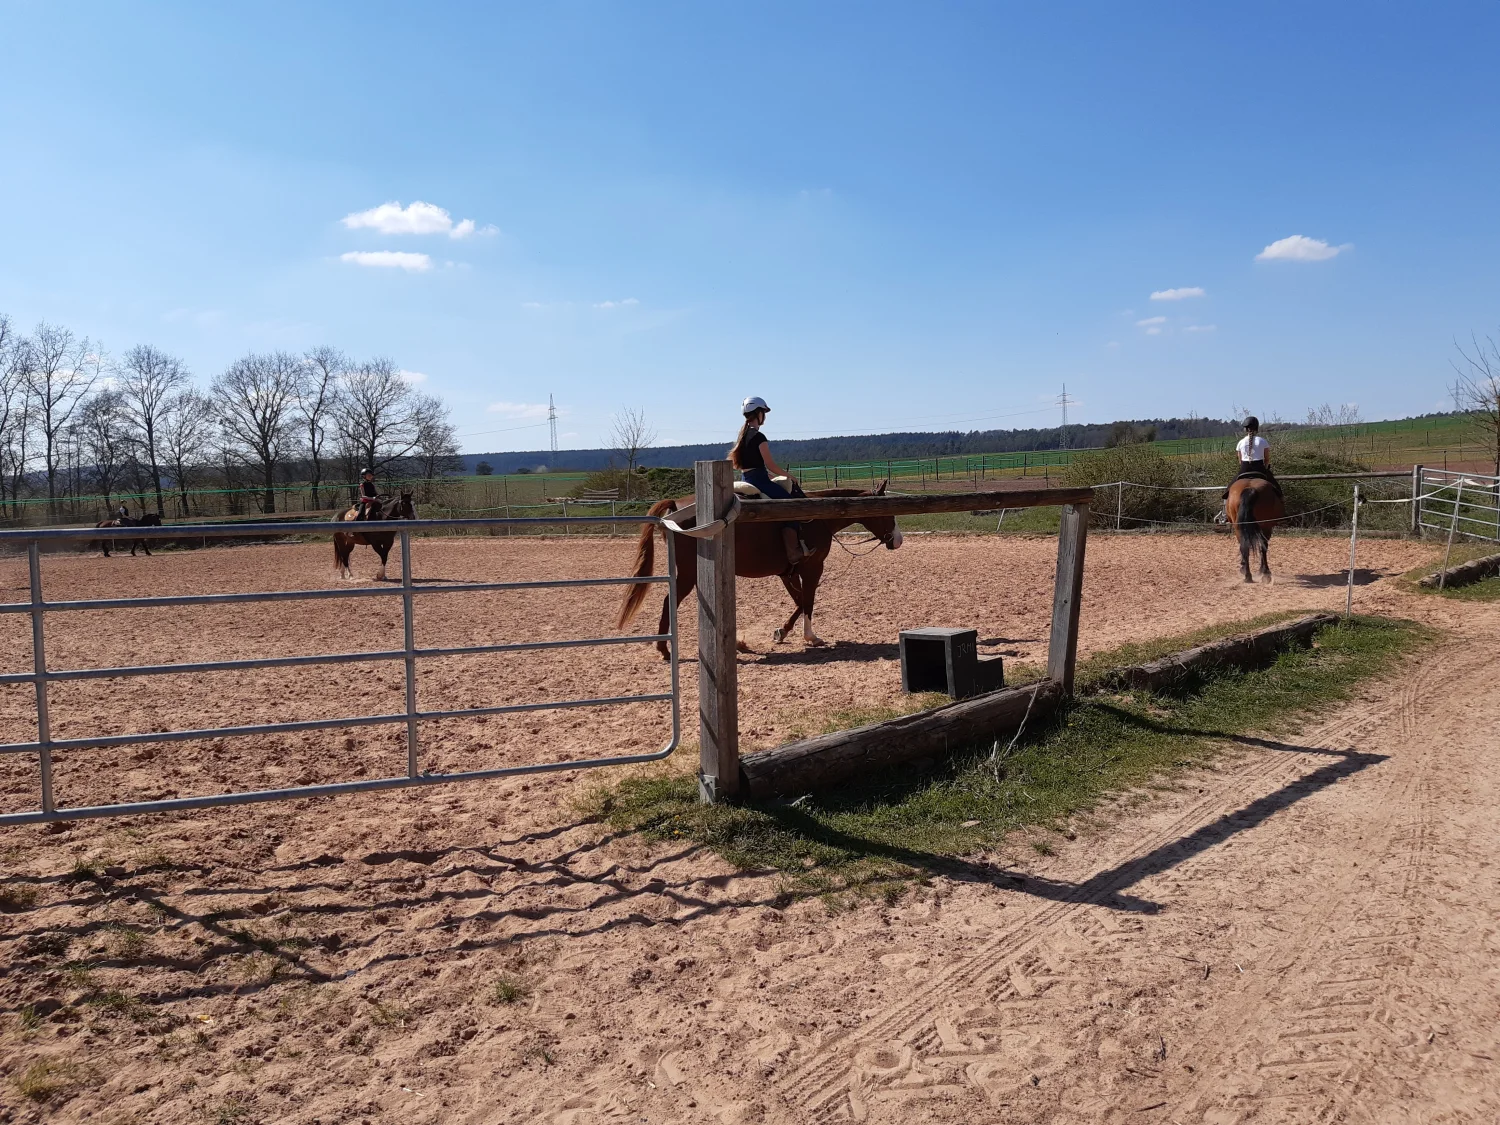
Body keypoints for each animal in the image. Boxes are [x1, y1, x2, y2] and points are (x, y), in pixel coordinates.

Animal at [616, 483, 903, 659]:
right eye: (888, 513)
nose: (898, 540)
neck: (818, 516)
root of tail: (677, 507)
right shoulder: (812, 568)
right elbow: (808, 602)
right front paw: (811, 637)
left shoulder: (787, 572)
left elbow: (799, 601)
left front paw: (782, 632)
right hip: (688, 574)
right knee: (669, 602)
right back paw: (664, 648)